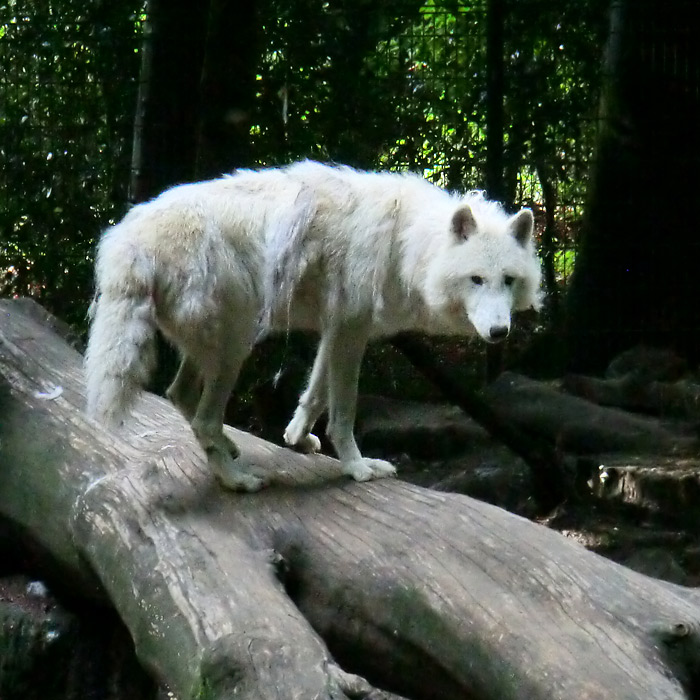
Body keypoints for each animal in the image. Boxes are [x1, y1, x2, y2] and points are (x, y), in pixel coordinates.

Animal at [86, 162, 540, 492]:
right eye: (476, 280)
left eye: (508, 280)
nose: (499, 333)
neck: (407, 242)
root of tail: (127, 241)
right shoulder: (352, 330)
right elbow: (344, 411)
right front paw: (357, 467)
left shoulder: (338, 328)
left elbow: (314, 395)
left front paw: (296, 438)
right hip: (235, 346)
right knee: (202, 419)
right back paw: (237, 481)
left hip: (216, 346)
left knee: (180, 396)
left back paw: (229, 450)